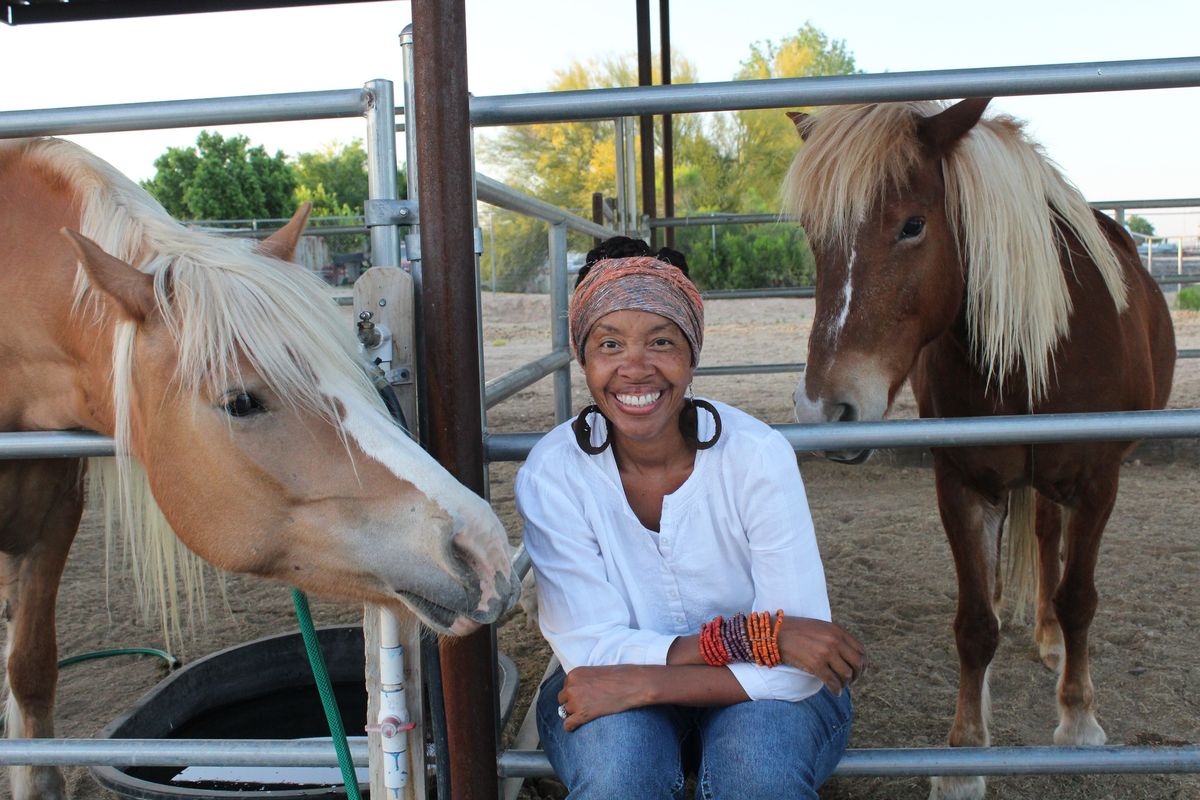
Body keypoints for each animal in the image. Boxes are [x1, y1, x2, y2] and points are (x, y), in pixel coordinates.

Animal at [782, 101, 1176, 800]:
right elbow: (974, 625)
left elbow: (1079, 599)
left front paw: (1078, 721)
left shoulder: (1098, 483)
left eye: (913, 224)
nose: (826, 410)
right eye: (813, 233)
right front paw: (965, 757)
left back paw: (1052, 644)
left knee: (1052, 544)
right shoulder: (963, 485)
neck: (1032, 356)